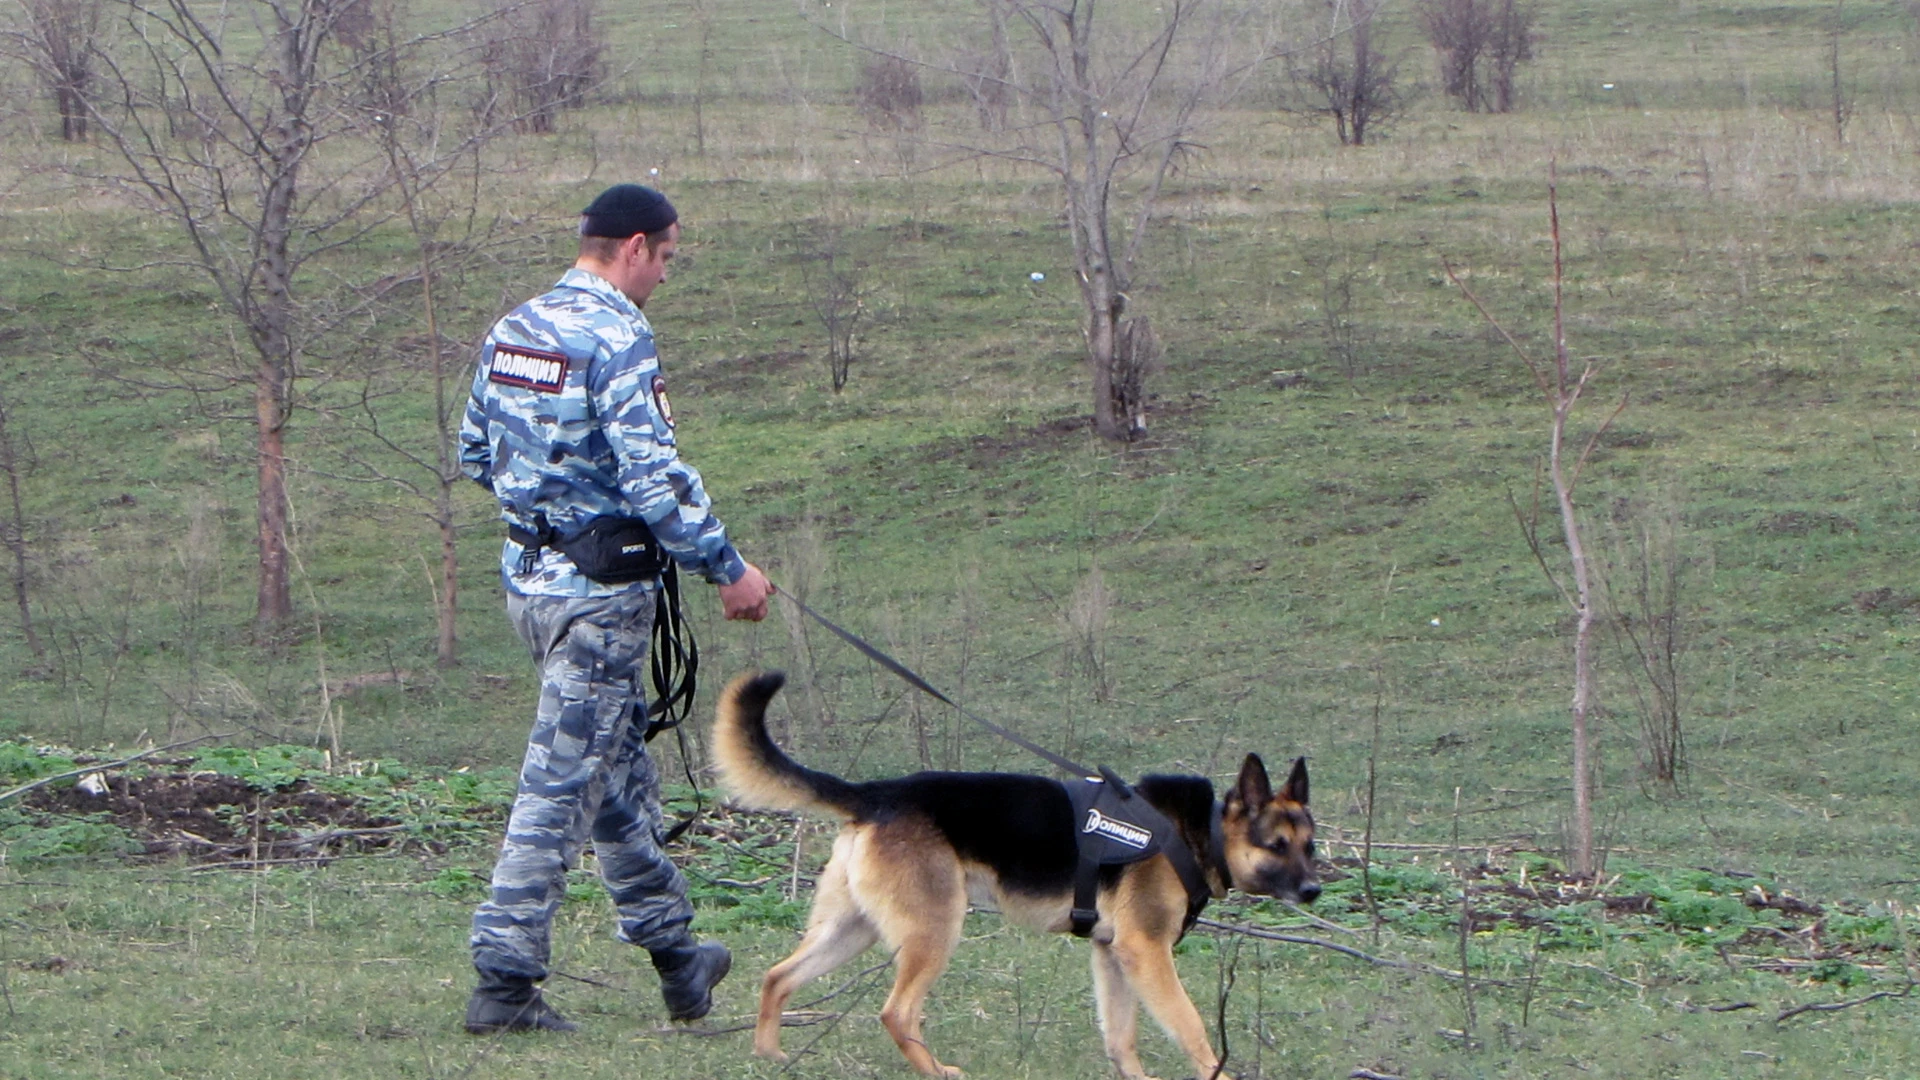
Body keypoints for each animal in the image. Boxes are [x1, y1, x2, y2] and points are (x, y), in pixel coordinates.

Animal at [710, 668, 1320, 1068]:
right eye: (1277, 845)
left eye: (1310, 846)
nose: (1315, 890)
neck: (1201, 834)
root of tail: (878, 795)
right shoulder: (1146, 953)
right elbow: (1192, 1029)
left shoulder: (1112, 956)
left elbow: (1120, 1039)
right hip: (934, 932)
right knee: (898, 1014)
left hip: (851, 930)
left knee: (777, 977)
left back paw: (768, 1056)